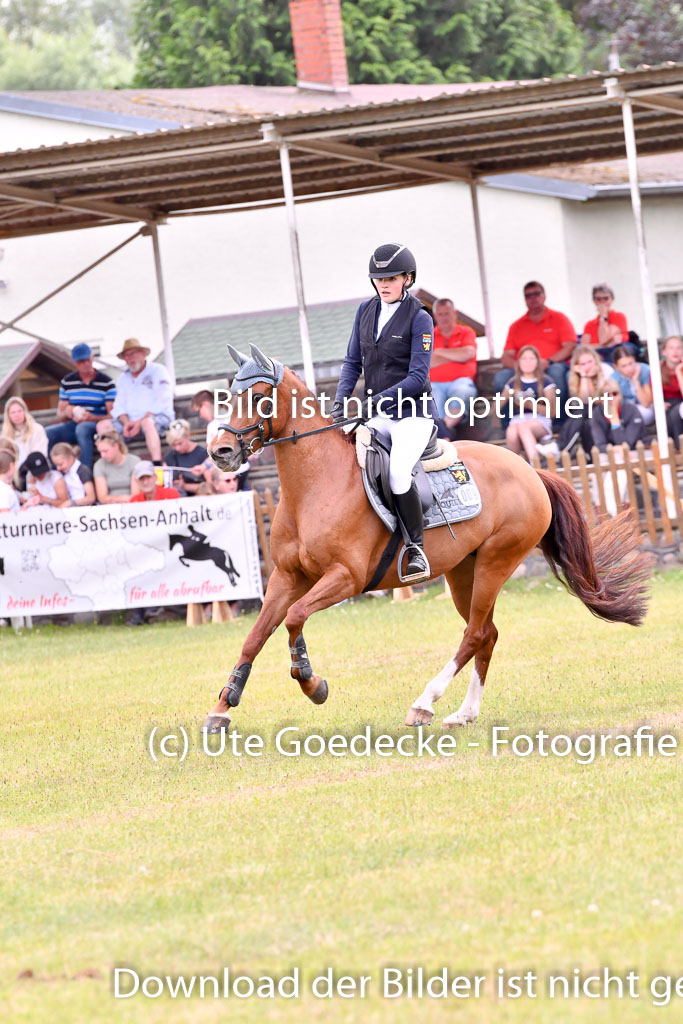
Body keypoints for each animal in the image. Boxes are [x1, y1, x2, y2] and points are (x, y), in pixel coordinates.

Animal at [206, 348, 651, 733]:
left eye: (260, 397)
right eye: (228, 396)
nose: (220, 451)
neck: (314, 485)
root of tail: (529, 471)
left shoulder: (345, 577)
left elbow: (295, 617)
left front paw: (312, 683)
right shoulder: (286, 577)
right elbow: (255, 635)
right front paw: (222, 707)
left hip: (496, 562)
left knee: (474, 634)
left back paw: (424, 703)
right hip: (463, 570)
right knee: (486, 633)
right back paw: (464, 713)